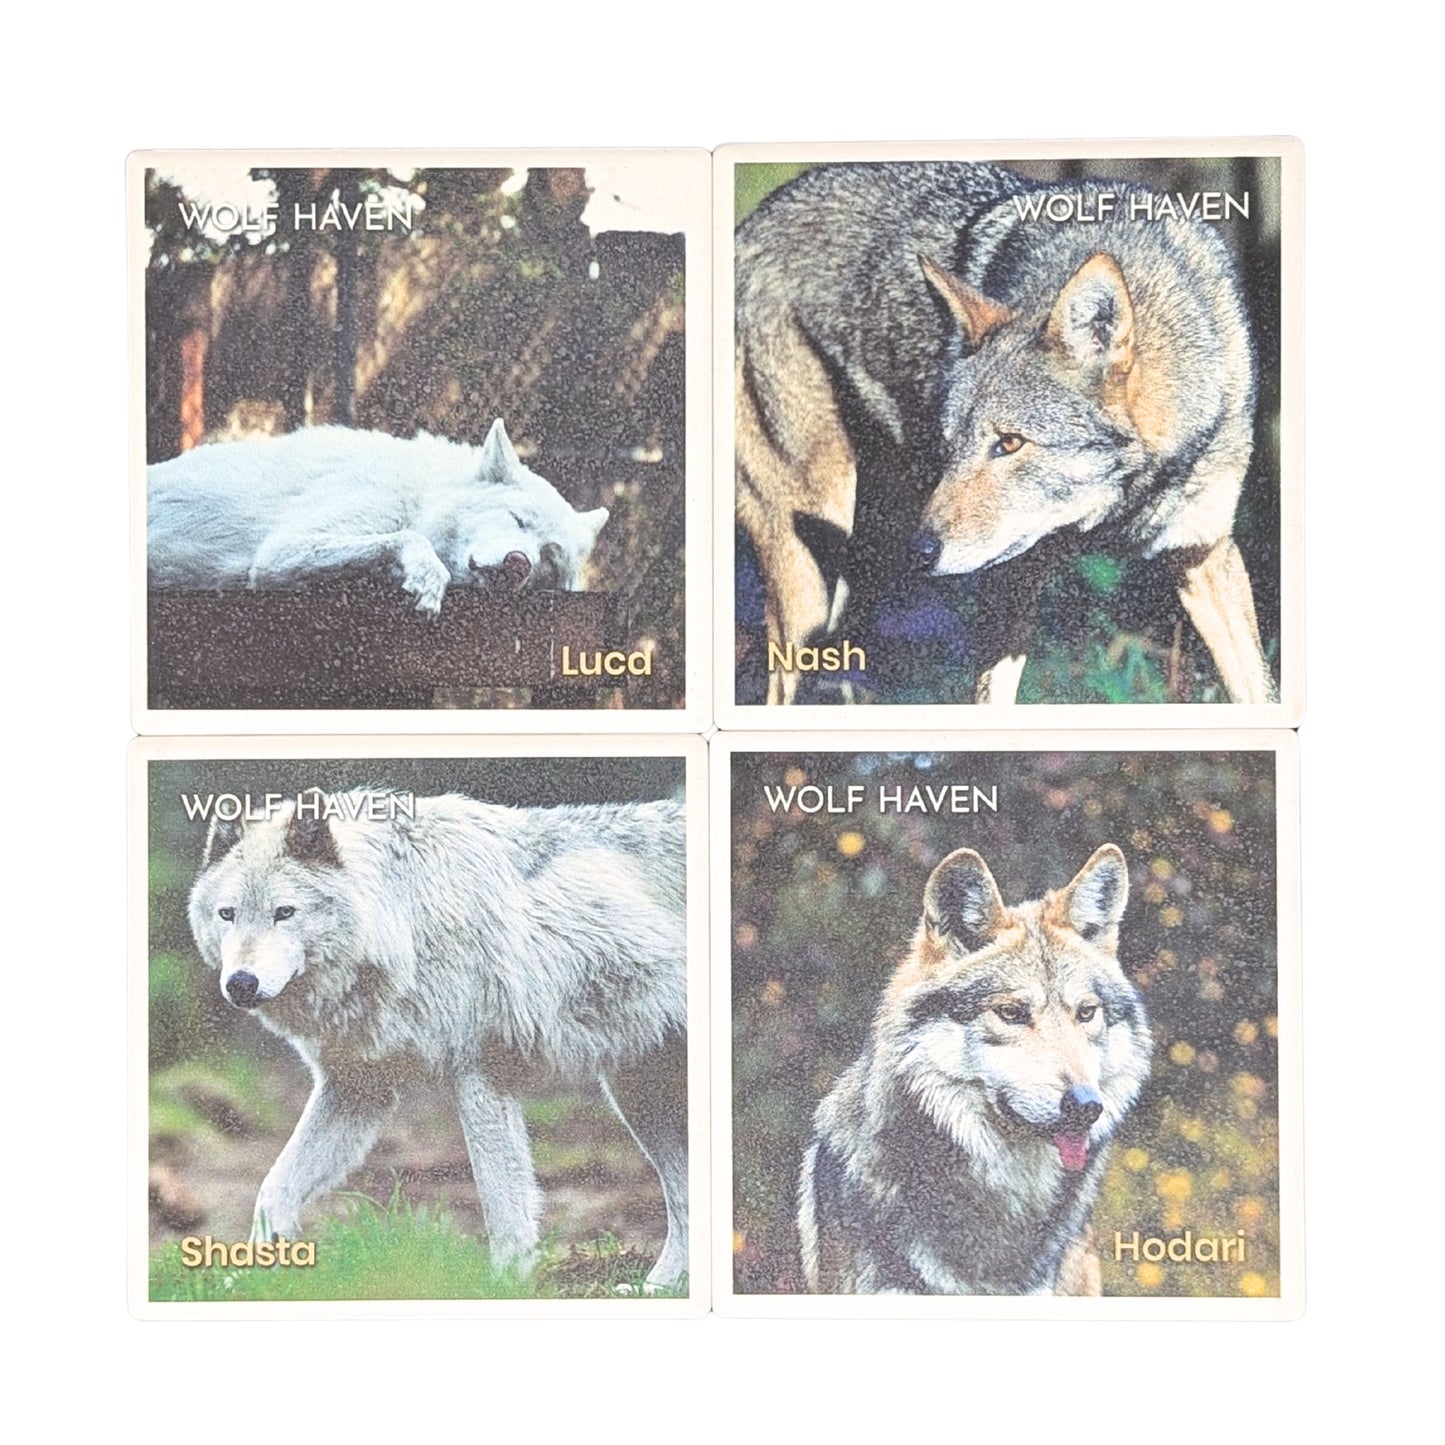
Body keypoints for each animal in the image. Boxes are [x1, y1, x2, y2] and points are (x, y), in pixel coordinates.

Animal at [149, 419, 610, 612]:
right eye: (516, 520)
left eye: (548, 556)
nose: (519, 563)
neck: (418, 495)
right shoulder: (277, 554)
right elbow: (410, 539)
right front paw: (428, 580)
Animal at [186, 787, 689, 1289]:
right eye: (228, 914)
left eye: (284, 913)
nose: (241, 984)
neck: (404, 920)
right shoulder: (356, 1089)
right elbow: (274, 1189)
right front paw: (248, 1283)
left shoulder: (480, 1077)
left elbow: (503, 1208)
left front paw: (503, 1289)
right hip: (639, 1099)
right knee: (683, 1197)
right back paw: (655, 1288)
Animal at [736, 161, 1276, 705]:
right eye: (949, 446)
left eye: (1009, 443)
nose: (921, 552)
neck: (1117, 515)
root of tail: (749, 223)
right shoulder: (1009, 579)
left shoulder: (1207, 558)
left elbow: (1260, 690)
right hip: (810, 576)